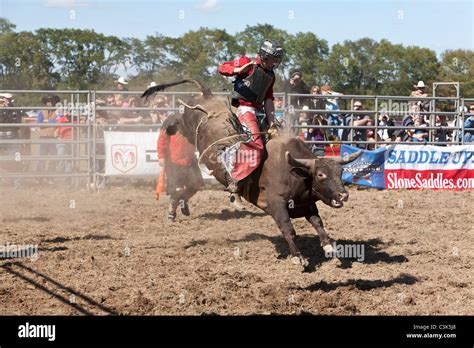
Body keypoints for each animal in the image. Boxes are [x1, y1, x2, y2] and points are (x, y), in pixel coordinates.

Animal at [141, 80, 360, 268]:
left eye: (341, 172)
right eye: (321, 175)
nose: (343, 195)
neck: (295, 172)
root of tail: (208, 94)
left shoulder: (307, 204)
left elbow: (318, 223)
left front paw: (330, 247)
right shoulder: (276, 204)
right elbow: (288, 229)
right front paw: (297, 257)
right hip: (189, 122)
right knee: (179, 121)